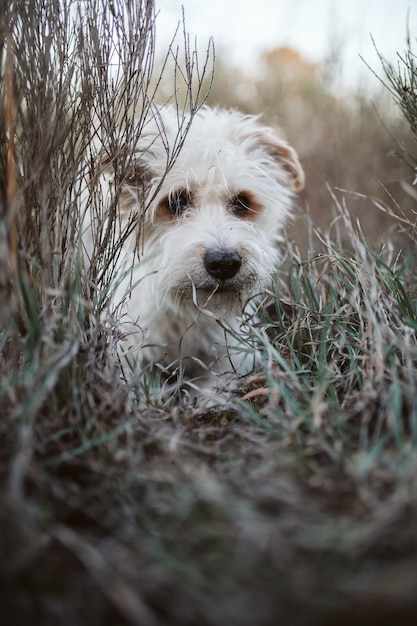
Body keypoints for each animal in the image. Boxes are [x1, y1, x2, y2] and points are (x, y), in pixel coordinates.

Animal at [86, 107, 304, 390]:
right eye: (176, 201)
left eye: (242, 202)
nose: (224, 262)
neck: (186, 313)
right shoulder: (126, 350)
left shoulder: (232, 355)